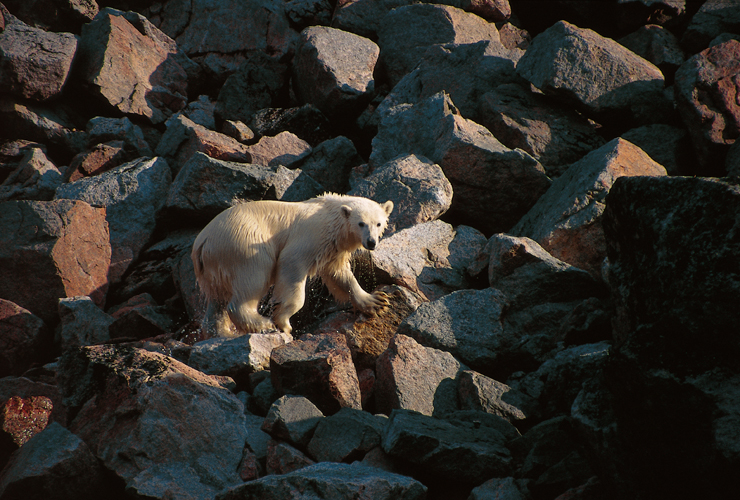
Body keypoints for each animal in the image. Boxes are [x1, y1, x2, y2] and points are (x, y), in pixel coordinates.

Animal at [191, 193, 394, 338]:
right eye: (361, 223)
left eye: (378, 223)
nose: (371, 242)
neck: (331, 220)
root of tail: (203, 242)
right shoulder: (311, 236)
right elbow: (291, 263)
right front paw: (283, 321)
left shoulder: (333, 249)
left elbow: (340, 275)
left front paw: (375, 302)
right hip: (244, 242)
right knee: (252, 280)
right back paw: (263, 325)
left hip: (213, 266)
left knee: (218, 298)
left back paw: (221, 332)